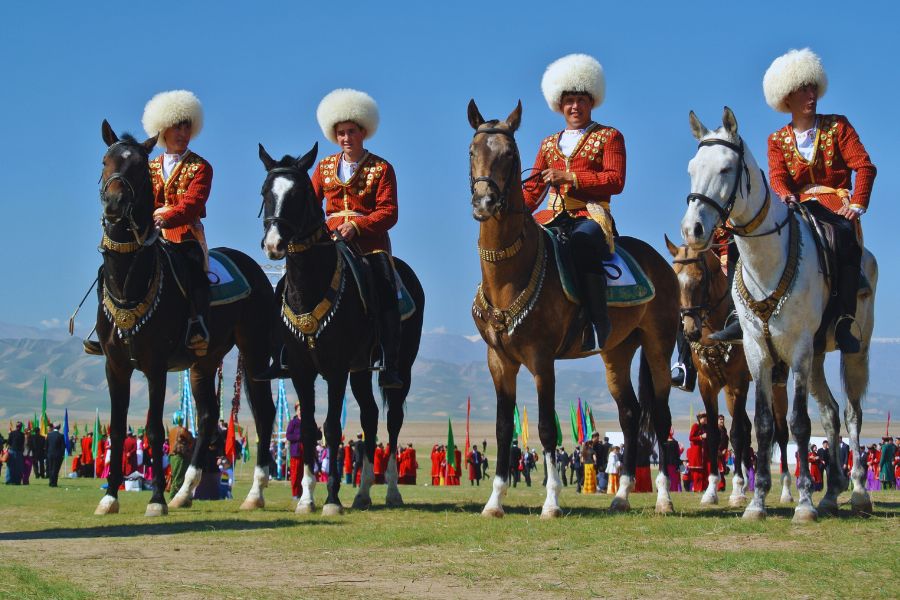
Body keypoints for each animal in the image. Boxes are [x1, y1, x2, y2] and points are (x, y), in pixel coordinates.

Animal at [93, 122, 278, 516]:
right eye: (106, 160)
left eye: (139, 168)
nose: (114, 204)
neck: (129, 281)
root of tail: (255, 270)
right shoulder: (115, 365)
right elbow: (116, 428)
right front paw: (110, 498)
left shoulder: (155, 366)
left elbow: (153, 429)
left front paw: (155, 501)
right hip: (203, 362)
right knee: (207, 418)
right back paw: (185, 492)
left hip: (254, 352)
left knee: (265, 413)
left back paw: (254, 493)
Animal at [256, 143, 426, 512]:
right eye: (265, 192)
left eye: (299, 194)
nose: (274, 244)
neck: (309, 286)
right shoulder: (301, 370)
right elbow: (309, 429)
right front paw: (307, 498)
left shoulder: (335, 369)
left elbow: (332, 427)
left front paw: (332, 498)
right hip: (361, 369)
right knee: (370, 416)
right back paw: (362, 493)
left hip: (400, 368)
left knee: (392, 420)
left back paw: (391, 491)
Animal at [468, 99, 680, 516]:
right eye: (473, 150)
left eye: (510, 154)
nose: (484, 202)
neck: (509, 276)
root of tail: (660, 262)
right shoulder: (498, 360)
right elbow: (502, 428)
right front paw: (494, 502)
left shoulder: (541, 358)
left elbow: (547, 428)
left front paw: (551, 502)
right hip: (617, 352)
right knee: (630, 415)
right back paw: (621, 495)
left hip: (658, 347)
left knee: (660, 418)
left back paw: (663, 498)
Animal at [660, 237, 796, 504]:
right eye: (674, 279)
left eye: (700, 279)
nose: (689, 329)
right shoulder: (708, 384)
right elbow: (714, 434)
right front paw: (712, 490)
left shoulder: (738, 383)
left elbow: (735, 434)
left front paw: (737, 489)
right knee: (746, 427)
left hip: (776, 387)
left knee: (780, 432)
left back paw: (784, 491)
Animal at [680, 106, 876, 520]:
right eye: (692, 168)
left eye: (725, 168)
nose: (693, 229)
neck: (768, 260)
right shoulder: (758, 353)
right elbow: (764, 424)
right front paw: (756, 502)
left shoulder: (797, 348)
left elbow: (798, 424)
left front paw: (803, 503)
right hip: (816, 358)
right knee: (831, 413)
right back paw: (832, 492)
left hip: (853, 352)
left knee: (851, 414)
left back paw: (858, 492)